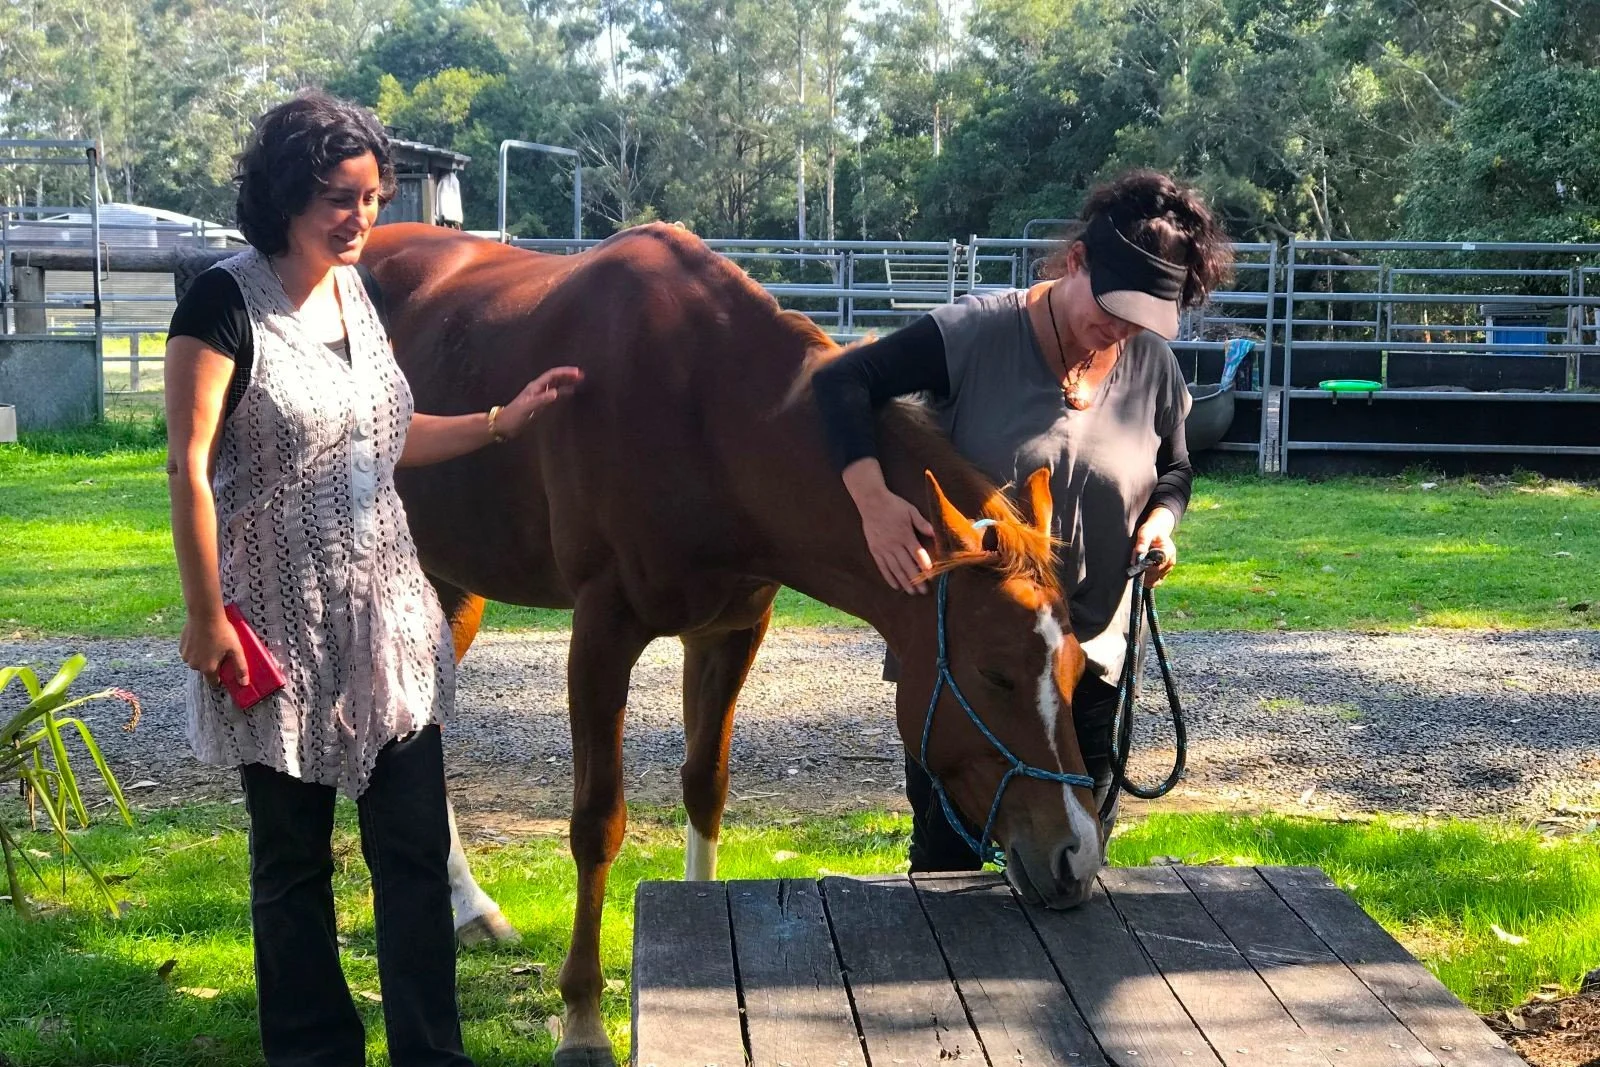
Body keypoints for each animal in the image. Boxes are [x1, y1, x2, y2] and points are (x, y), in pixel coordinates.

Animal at [362, 222, 1106, 1066]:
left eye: (1074, 669)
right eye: (995, 674)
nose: (1078, 854)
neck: (706, 412)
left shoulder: (730, 631)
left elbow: (706, 784)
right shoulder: (601, 631)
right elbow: (596, 822)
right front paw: (583, 1019)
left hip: (449, 586)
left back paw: (469, 905)